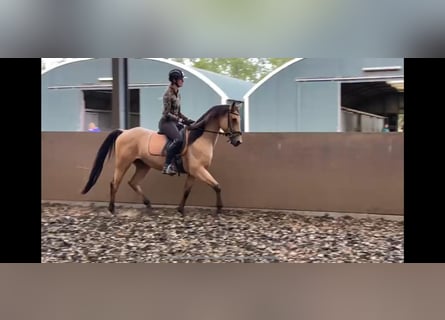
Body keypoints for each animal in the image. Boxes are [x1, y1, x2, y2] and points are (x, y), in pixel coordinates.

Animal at [80, 102, 243, 218]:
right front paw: (219, 209)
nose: (238, 141)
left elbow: (187, 190)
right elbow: (217, 186)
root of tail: (124, 132)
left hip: (143, 165)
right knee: (115, 183)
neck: (199, 138)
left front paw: (180, 210)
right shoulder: (198, 170)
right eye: (234, 119)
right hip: (123, 163)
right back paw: (112, 209)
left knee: (133, 182)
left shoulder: (193, 172)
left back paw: (149, 205)